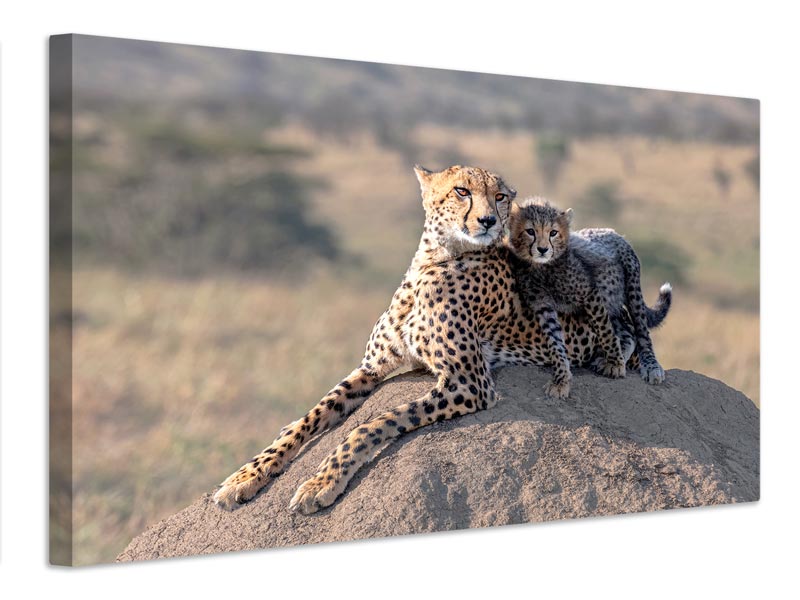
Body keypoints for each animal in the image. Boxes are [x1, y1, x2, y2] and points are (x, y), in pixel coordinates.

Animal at [213, 165, 617, 515]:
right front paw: (246, 475)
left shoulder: (470, 383)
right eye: (462, 191)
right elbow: (311, 416)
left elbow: (374, 423)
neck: (435, 259)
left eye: (500, 196)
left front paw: (322, 482)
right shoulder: (371, 369)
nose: (488, 221)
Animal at [507, 196, 672, 399]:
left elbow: (605, 332)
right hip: (610, 302)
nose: (543, 249)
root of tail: (612, 231)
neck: (542, 268)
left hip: (631, 289)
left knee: (641, 331)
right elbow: (555, 344)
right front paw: (561, 380)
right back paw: (609, 358)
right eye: (530, 231)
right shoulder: (542, 306)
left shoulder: (590, 294)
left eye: (553, 232)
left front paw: (615, 364)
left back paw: (650, 366)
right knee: (627, 331)